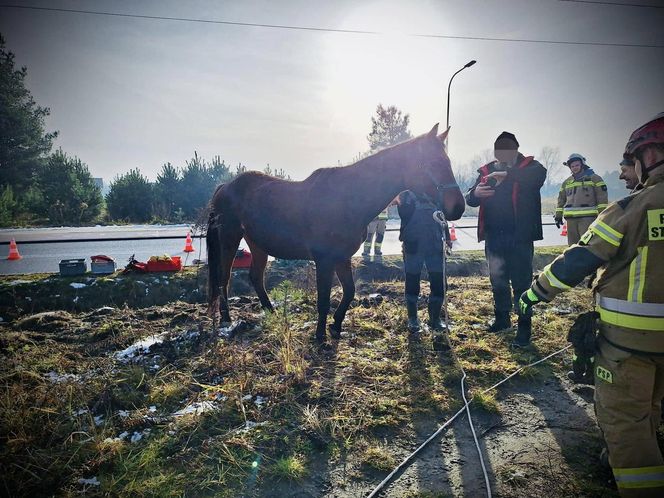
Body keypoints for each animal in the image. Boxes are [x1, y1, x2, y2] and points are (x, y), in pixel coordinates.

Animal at [210, 124, 464, 342]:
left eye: (448, 161)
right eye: (433, 162)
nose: (458, 207)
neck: (346, 198)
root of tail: (226, 186)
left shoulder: (342, 257)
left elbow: (349, 292)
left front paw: (336, 325)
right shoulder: (324, 259)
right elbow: (323, 298)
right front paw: (320, 335)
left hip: (257, 243)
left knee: (255, 276)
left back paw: (271, 311)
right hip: (230, 237)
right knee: (225, 277)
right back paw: (226, 319)